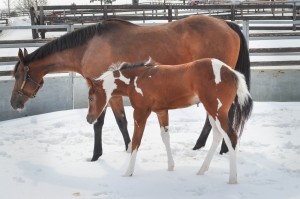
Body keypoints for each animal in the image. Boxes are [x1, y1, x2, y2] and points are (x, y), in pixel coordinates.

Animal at [9, 15, 250, 162]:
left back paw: (221, 148)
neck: (88, 48)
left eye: (19, 75)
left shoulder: (103, 91)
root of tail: (226, 23)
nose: (14, 103)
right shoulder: (112, 93)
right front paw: (128, 147)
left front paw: (96, 155)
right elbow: (121, 121)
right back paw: (203, 146)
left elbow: (101, 123)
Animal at [86, 58, 253, 183]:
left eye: (91, 98)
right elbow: (165, 137)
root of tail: (232, 73)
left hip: (217, 111)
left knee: (231, 137)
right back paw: (201, 170)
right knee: (218, 136)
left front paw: (128, 173)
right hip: (212, 112)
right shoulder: (161, 111)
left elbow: (136, 141)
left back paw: (232, 180)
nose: (89, 119)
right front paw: (171, 167)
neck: (137, 78)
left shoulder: (140, 113)